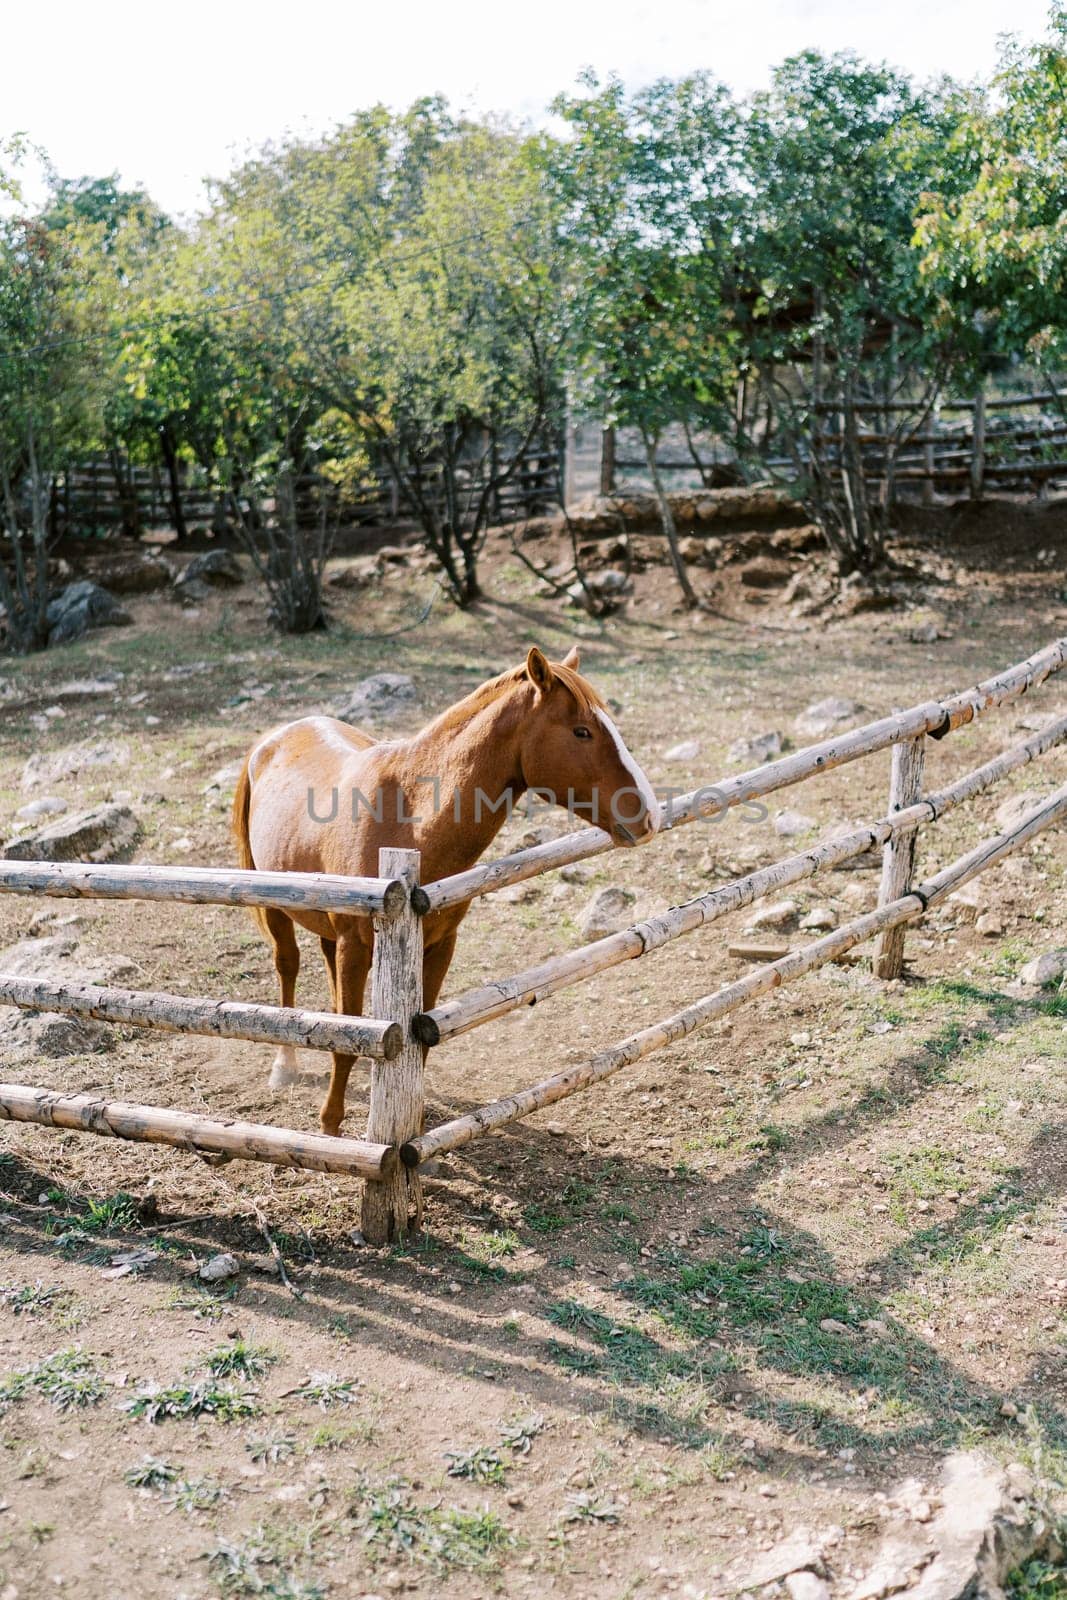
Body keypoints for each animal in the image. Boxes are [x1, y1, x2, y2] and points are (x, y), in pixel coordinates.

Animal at [235, 643, 659, 1132]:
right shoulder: (355, 947)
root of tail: (275, 737)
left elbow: (418, 1042)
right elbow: (349, 1034)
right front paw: (330, 1125)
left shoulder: (439, 946)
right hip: (274, 906)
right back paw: (284, 1065)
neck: (410, 820)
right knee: (287, 966)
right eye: (582, 731)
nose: (648, 815)